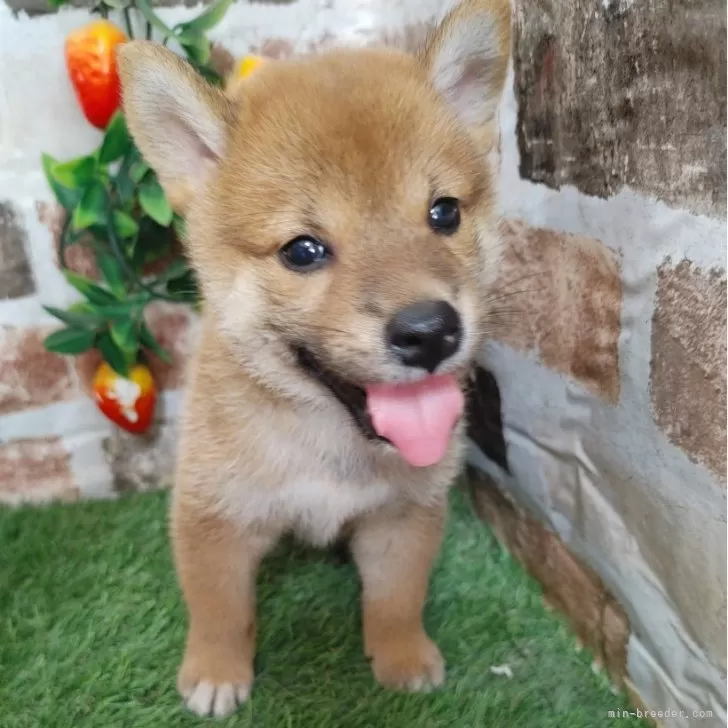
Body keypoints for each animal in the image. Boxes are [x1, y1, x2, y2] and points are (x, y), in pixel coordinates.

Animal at [119, 0, 510, 716]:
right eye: (303, 250)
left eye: (444, 213)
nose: (429, 330)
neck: (331, 445)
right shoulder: (214, 515)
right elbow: (219, 608)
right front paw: (216, 671)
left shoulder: (404, 516)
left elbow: (396, 599)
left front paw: (402, 657)